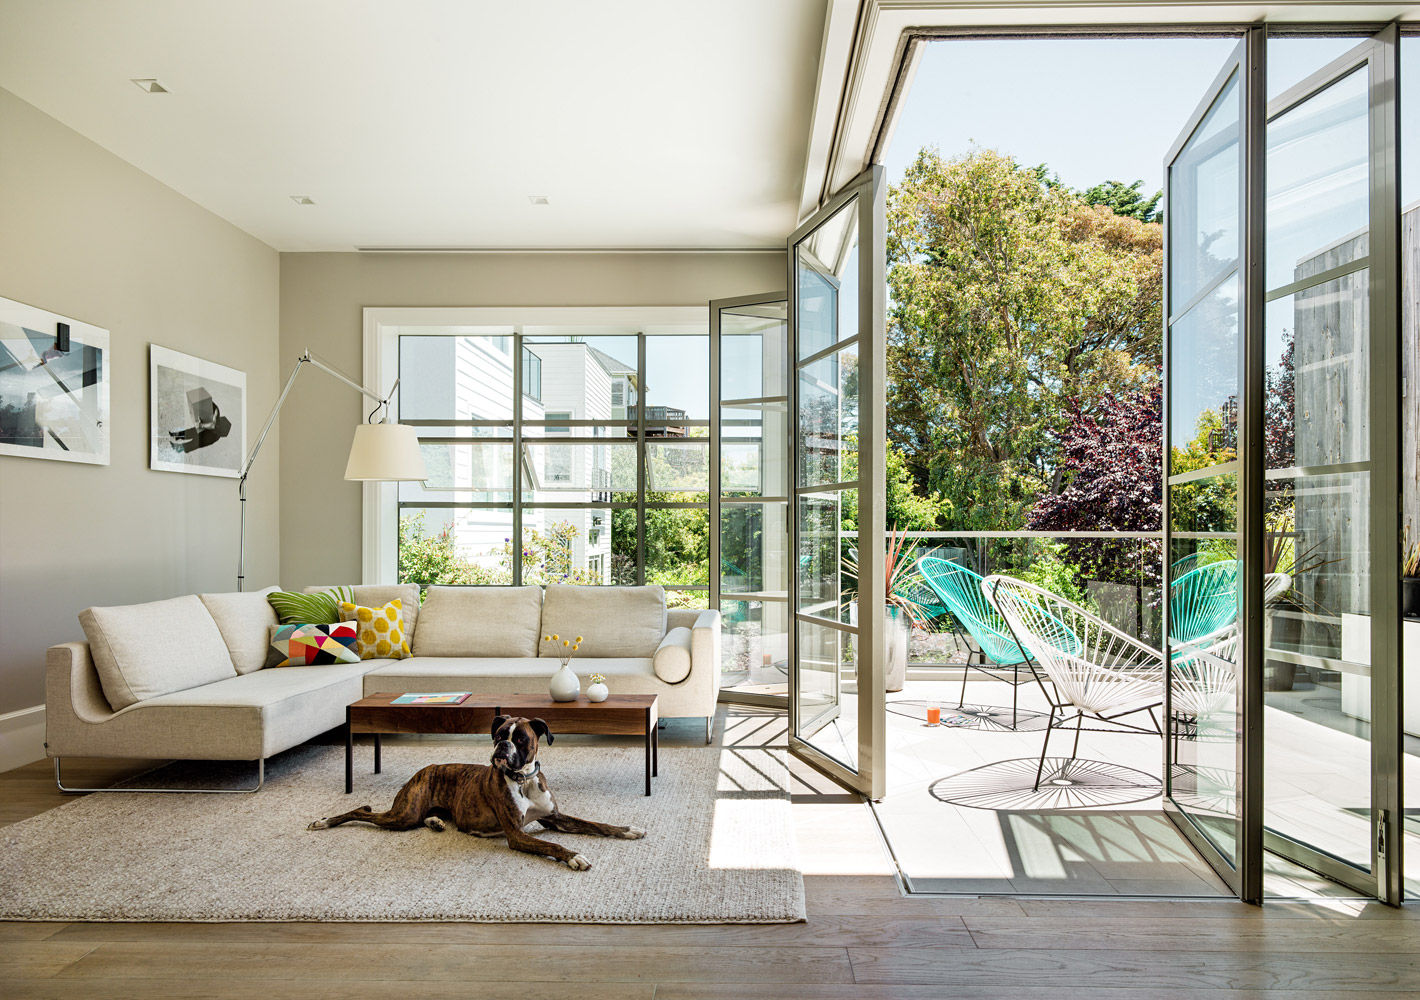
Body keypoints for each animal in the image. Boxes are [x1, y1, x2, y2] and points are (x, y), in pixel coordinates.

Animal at [310, 715, 650, 869]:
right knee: (361, 810)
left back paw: (437, 822)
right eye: (498, 735)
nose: (502, 746)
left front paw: (629, 829)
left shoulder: (555, 817)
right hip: (403, 814)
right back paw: (323, 821)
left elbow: (596, 824)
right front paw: (574, 856)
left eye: (521, 738)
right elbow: (552, 844)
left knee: (425, 817)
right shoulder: (516, 834)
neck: (524, 779)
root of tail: (423, 769)